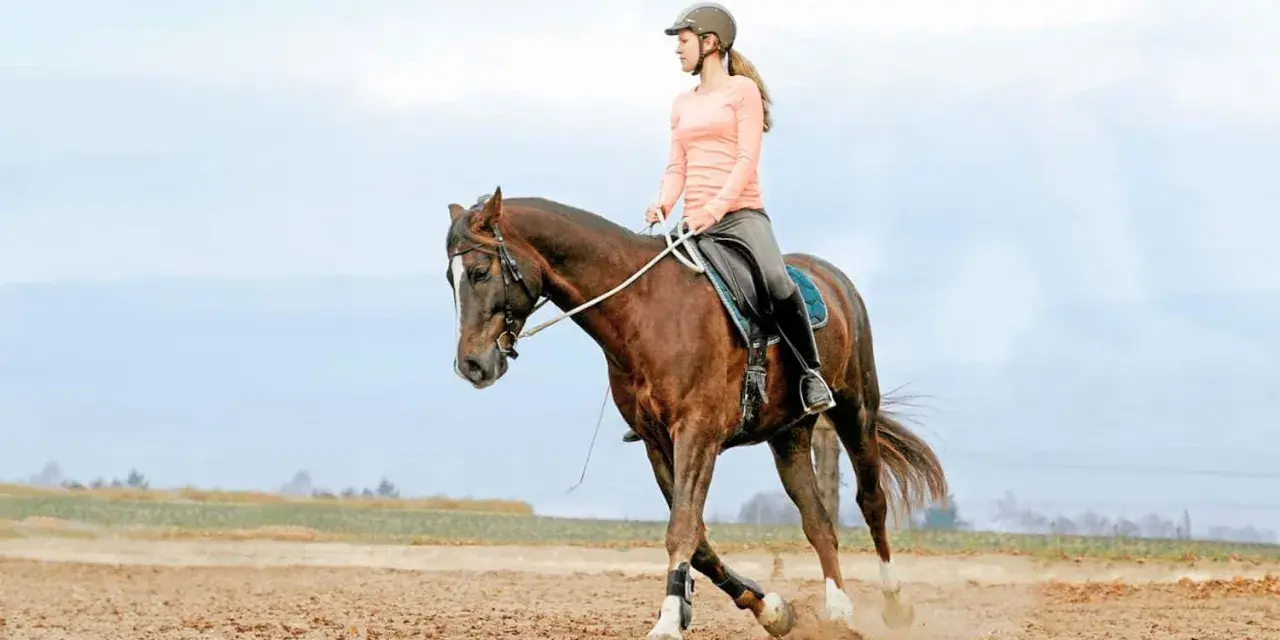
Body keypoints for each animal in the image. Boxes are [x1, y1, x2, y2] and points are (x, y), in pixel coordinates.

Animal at [445, 187, 948, 640]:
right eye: (450, 279)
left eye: (480, 271)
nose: (471, 365)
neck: (644, 308)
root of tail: (832, 277)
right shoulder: (656, 443)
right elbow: (699, 540)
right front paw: (769, 609)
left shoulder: (697, 434)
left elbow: (682, 529)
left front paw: (669, 622)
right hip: (788, 436)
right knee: (818, 522)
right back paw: (839, 611)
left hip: (855, 409)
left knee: (872, 502)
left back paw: (895, 605)